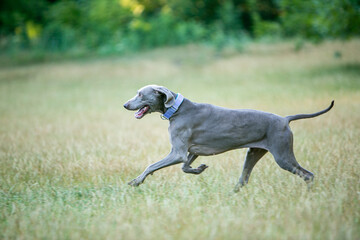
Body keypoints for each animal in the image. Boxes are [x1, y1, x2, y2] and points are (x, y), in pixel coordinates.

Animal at [123, 84, 332, 191]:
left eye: (140, 94)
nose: (125, 105)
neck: (176, 109)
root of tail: (285, 119)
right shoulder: (192, 151)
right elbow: (185, 167)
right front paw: (199, 169)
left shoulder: (178, 152)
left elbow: (151, 166)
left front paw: (136, 181)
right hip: (254, 152)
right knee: (244, 180)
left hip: (282, 155)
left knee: (308, 175)